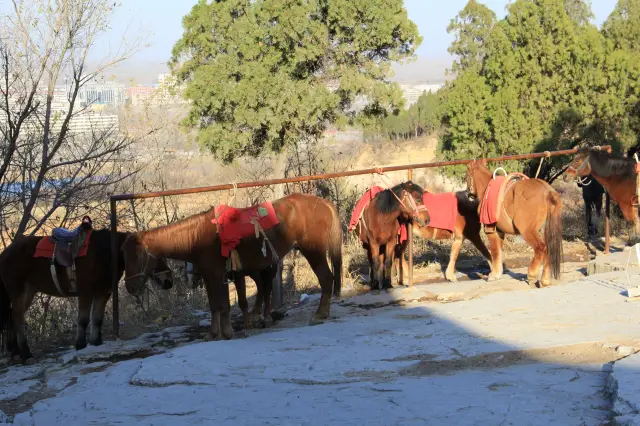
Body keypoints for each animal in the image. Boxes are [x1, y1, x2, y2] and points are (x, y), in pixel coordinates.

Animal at [0, 228, 175, 364]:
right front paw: (80, 345)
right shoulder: (86, 293)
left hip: (28, 292)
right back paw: (26, 354)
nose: (168, 281)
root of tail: (5, 253)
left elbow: (97, 319)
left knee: (12, 316)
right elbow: (83, 320)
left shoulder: (103, 293)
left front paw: (96, 343)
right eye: (156, 253)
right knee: (17, 318)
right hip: (19, 293)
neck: (105, 253)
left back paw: (16, 353)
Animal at [121, 191, 344, 342]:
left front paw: (226, 332)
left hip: (313, 251)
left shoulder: (217, 275)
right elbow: (216, 305)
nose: (130, 288)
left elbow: (224, 305)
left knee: (326, 278)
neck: (197, 237)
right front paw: (214, 333)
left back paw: (320, 314)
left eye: (136, 256)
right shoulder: (212, 277)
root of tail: (323, 203)